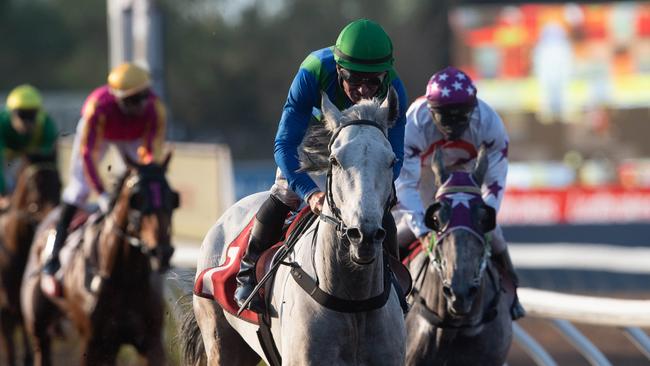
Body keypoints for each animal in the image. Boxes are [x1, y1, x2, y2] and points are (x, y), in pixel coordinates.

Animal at [20, 155, 177, 366]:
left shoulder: (150, 342)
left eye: (173, 198)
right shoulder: (94, 343)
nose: (162, 252)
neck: (126, 279)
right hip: (39, 330)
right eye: (137, 199)